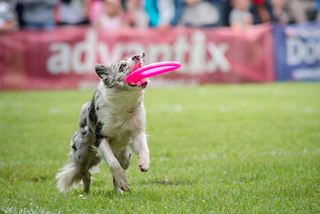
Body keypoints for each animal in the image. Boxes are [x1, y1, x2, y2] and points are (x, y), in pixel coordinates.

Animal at [56, 52, 150, 193]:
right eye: (122, 66)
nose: (138, 55)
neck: (125, 101)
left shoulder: (137, 132)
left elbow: (145, 148)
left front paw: (144, 163)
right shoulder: (100, 137)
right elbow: (113, 163)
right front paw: (124, 181)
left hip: (125, 155)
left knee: (115, 172)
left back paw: (118, 192)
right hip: (81, 156)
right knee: (86, 174)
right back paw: (86, 192)